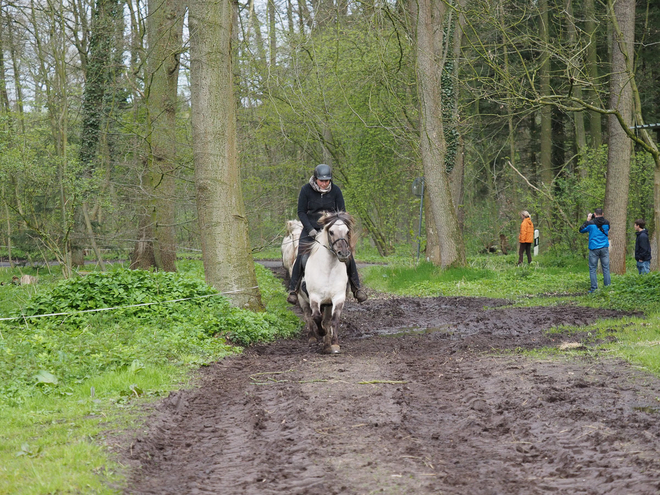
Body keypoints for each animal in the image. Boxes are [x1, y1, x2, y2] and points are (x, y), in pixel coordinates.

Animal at [296, 211, 356, 354]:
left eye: (347, 231)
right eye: (331, 232)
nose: (343, 254)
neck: (328, 269)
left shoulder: (338, 297)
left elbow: (334, 320)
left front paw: (334, 344)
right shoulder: (314, 297)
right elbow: (316, 317)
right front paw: (321, 332)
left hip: (328, 303)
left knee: (327, 320)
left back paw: (327, 344)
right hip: (302, 299)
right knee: (308, 316)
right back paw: (313, 337)